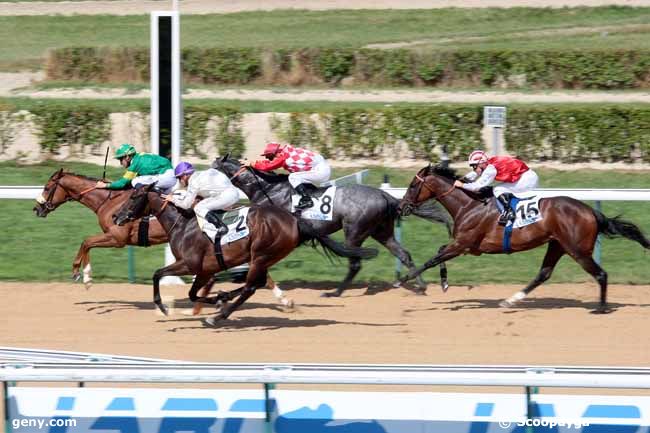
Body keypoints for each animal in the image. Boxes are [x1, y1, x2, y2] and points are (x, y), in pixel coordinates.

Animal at [33, 169, 292, 308]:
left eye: (47, 187)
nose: (37, 209)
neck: (108, 201)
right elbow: (87, 242)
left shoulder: (116, 237)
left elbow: (86, 241)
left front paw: (82, 274)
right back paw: (281, 299)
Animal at [114, 183, 378, 324]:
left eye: (134, 197)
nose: (116, 217)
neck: (184, 224)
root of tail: (294, 219)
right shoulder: (205, 269)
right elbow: (190, 291)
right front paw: (217, 298)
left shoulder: (191, 264)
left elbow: (160, 276)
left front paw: (164, 307)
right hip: (263, 257)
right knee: (256, 283)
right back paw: (225, 301)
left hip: (261, 254)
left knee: (252, 286)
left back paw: (219, 315)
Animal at [210, 155, 448, 296]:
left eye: (212, 169)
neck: (268, 189)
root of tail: (384, 195)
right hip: (381, 231)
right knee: (403, 254)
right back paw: (420, 285)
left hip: (354, 231)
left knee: (355, 264)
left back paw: (335, 292)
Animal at [394, 164, 648, 312]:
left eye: (413, 185)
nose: (401, 206)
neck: (468, 204)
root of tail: (590, 211)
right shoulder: (464, 246)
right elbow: (438, 252)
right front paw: (444, 283)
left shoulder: (462, 244)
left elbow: (432, 258)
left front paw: (404, 280)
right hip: (558, 245)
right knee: (544, 273)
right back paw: (511, 300)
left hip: (578, 250)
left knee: (601, 274)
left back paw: (602, 308)